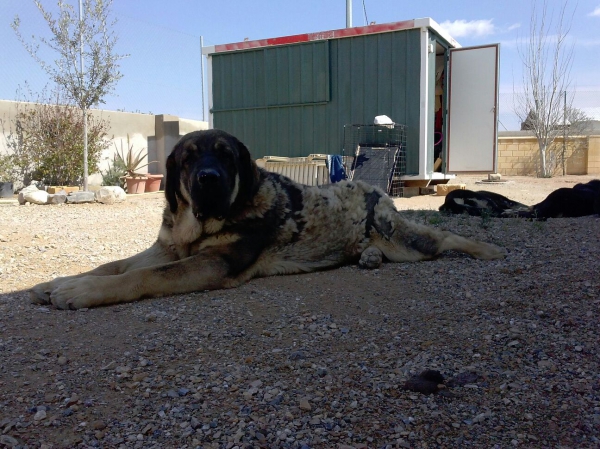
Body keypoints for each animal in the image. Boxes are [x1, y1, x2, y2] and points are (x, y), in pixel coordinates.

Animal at [29, 127, 506, 308]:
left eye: (225, 157)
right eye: (188, 157)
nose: (207, 178)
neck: (196, 226)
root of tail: (374, 189)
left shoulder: (211, 262)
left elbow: (139, 277)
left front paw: (81, 292)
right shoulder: (167, 248)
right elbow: (115, 265)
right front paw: (58, 282)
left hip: (402, 238)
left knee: (441, 240)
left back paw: (488, 249)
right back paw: (367, 258)